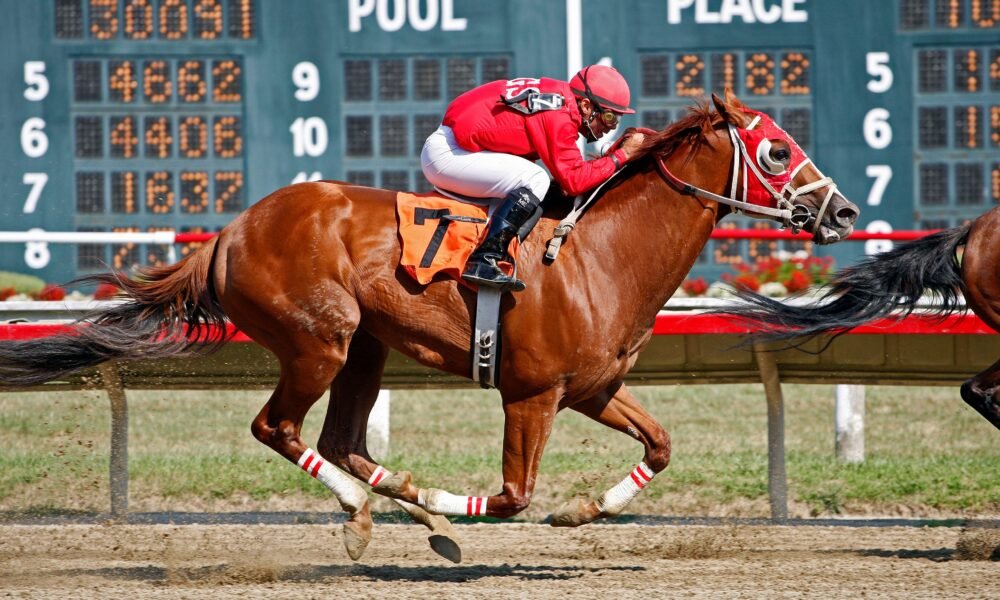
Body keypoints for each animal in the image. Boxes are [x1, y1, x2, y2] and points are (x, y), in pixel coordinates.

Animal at [0, 91, 859, 562]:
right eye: (776, 151)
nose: (845, 211)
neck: (601, 257)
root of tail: (231, 232)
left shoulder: (593, 388)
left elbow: (661, 445)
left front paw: (582, 510)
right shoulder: (531, 395)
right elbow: (511, 497)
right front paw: (456, 512)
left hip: (365, 348)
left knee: (342, 439)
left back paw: (392, 503)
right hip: (321, 339)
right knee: (279, 428)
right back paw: (366, 513)